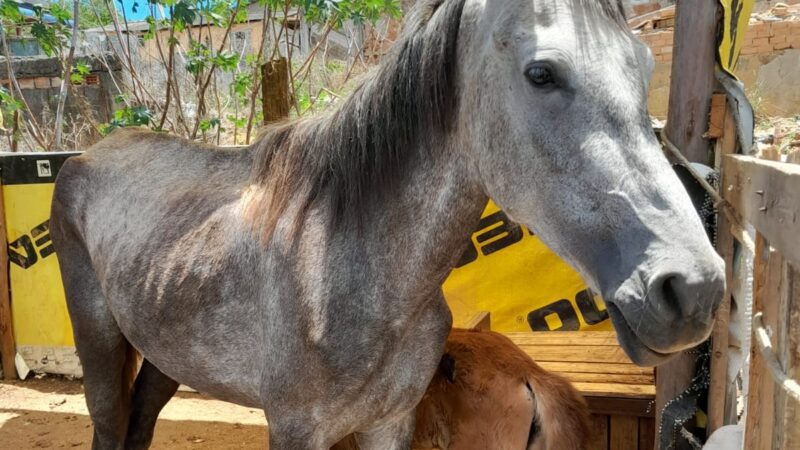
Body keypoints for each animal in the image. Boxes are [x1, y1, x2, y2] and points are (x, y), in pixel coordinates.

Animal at [48, 0, 724, 448]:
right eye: (541, 73)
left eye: (643, 66)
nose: (693, 288)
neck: (349, 273)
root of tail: (87, 155)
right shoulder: (295, 430)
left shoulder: (389, 424)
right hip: (100, 346)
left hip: (166, 352)